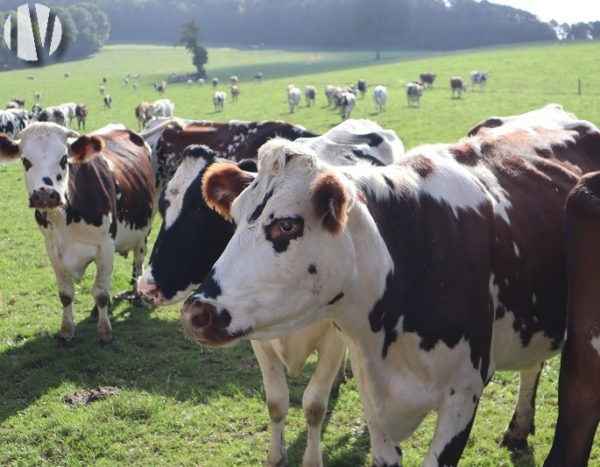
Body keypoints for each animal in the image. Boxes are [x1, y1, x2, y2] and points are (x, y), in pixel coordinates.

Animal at [0, 122, 155, 346]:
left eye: (64, 159)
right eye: (25, 160)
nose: (44, 194)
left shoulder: (106, 247)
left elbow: (101, 292)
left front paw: (104, 332)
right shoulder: (52, 250)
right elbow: (66, 294)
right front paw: (66, 331)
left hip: (143, 232)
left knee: (138, 263)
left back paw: (137, 297)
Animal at [138, 121, 406, 467]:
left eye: (199, 209)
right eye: (163, 206)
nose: (147, 285)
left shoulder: (333, 337)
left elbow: (314, 404)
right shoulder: (256, 335)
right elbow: (277, 402)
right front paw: (276, 458)